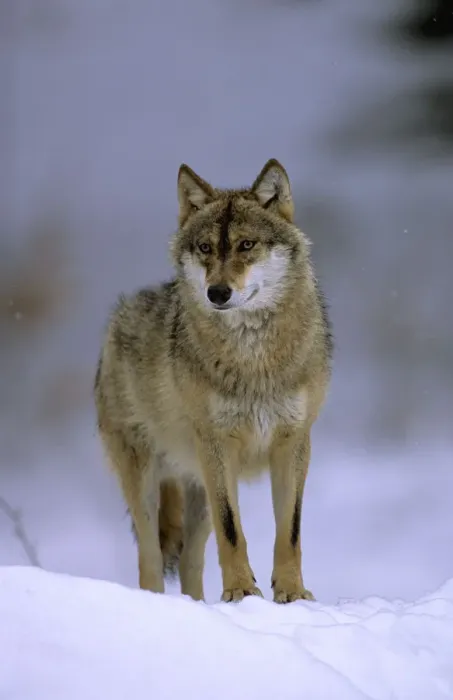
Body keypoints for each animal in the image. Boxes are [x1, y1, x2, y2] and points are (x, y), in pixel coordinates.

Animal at [94, 159, 332, 603]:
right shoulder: (217, 445)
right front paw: (241, 592)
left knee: (191, 561)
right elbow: (232, 531)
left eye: (246, 245)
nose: (217, 293)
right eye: (206, 248)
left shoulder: (294, 442)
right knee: (151, 560)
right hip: (149, 478)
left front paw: (292, 593)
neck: (253, 360)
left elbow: (289, 531)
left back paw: (198, 606)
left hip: (198, 488)